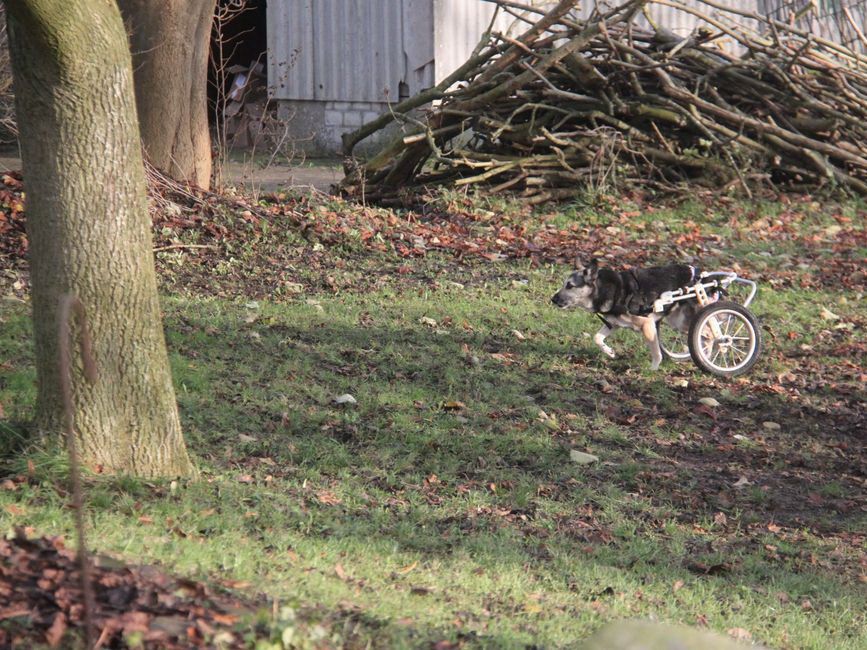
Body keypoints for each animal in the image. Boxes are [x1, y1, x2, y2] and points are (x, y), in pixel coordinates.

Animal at [551, 259, 700, 370]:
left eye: (570, 285)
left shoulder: (647, 324)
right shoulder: (614, 324)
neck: (608, 290)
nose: (552, 299)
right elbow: (597, 338)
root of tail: (697, 273)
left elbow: (657, 354)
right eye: (564, 284)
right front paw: (610, 352)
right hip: (678, 322)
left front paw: (652, 370)